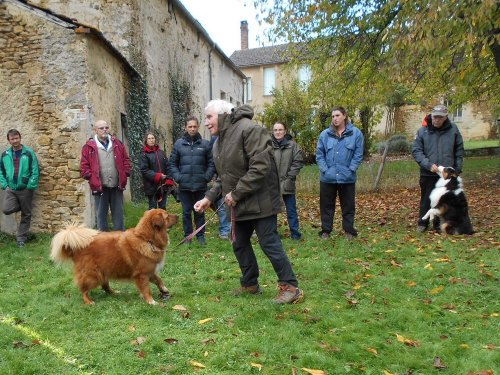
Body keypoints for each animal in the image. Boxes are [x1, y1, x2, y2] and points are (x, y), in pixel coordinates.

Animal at [50, 209, 179, 306]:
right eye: (167, 216)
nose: (178, 215)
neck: (146, 239)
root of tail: (76, 248)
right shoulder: (141, 274)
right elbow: (146, 289)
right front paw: (151, 301)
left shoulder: (150, 270)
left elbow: (158, 280)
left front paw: (164, 289)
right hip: (93, 275)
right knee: (85, 289)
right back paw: (88, 301)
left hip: (103, 272)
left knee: (105, 286)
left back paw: (114, 292)